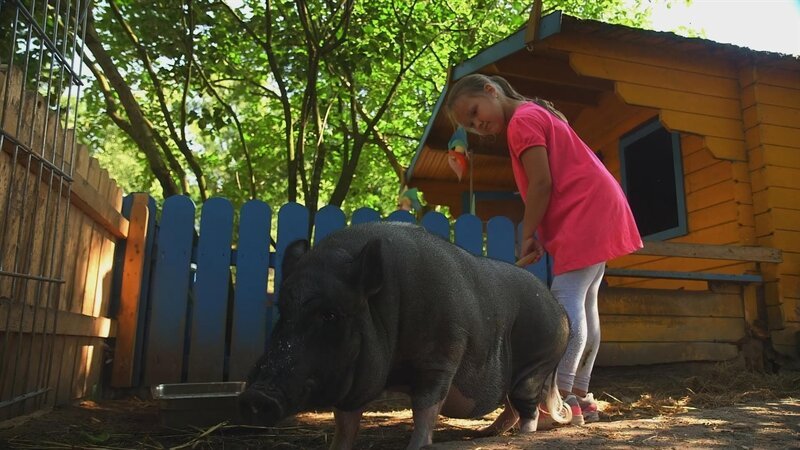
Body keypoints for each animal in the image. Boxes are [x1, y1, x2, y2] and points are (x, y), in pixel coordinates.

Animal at [239, 221, 571, 449]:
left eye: (330, 314)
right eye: (282, 309)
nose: (255, 396)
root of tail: (561, 311)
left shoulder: (441, 358)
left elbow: (425, 407)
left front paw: (417, 445)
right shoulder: (355, 379)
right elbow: (346, 422)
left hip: (535, 366)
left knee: (527, 408)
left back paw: (520, 437)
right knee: (512, 407)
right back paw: (485, 434)